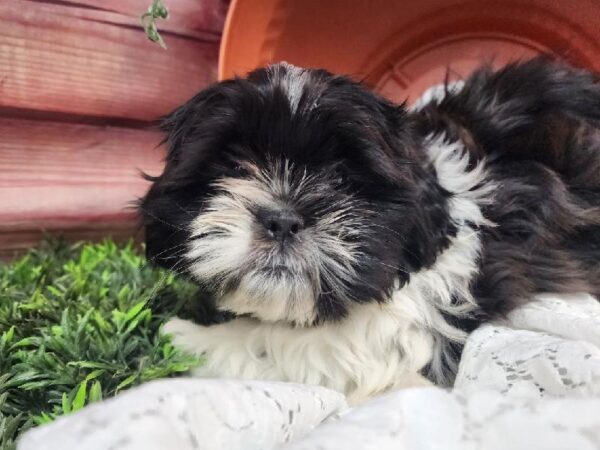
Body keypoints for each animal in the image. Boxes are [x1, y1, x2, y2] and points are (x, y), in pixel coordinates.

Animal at [142, 58, 600, 402]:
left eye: (342, 178)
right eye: (236, 168)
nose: (282, 219)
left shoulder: (394, 332)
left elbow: (283, 344)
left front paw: (184, 338)